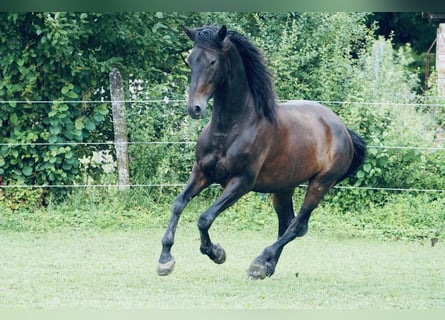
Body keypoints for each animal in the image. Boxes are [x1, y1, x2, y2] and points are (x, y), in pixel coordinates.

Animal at [156, 25, 364, 280]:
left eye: (213, 61)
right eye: (190, 60)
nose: (194, 108)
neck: (231, 128)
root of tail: (343, 129)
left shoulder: (241, 182)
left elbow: (204, 218)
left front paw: (216, 253)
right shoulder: (202, 173)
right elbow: (178, 204)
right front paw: (165, 259)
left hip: (320, 184)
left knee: (297, 226)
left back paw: (259, 262)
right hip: (283, 188)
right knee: (287, 223)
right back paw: (267, 267)